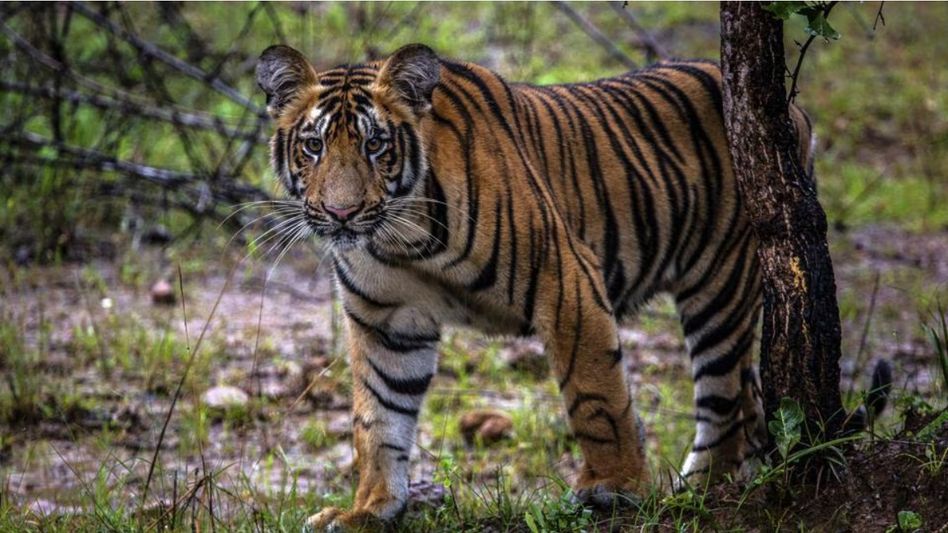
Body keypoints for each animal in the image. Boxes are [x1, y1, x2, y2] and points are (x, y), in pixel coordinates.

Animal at [255, 43, 815, 530]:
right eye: (313, 146)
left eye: (375, 145)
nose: (341, 213)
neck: (401, 239)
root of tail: (792, 112)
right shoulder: (385, 320)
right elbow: (378, 418)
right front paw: (368, 510)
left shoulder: (566, 279)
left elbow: (596, 394)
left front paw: (615, 485)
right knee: (748, 400)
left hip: (720, 286)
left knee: (723, 401)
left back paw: (697, 493)